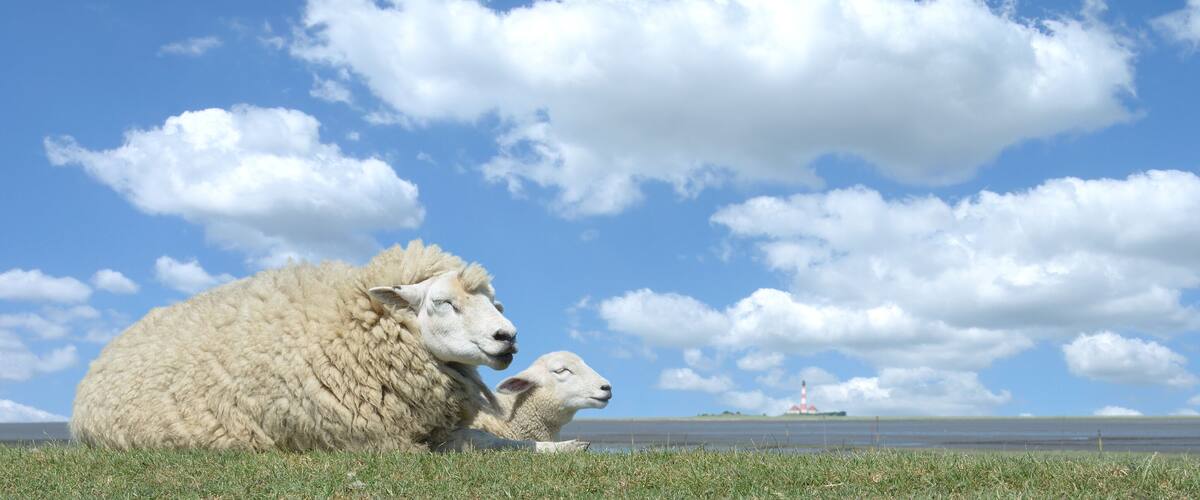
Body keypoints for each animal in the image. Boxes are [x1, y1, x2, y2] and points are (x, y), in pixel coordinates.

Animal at [71, 240, 585, 453]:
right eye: (443, 302)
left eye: (494, 303)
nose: (508, 337)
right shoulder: (380, 442)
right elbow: (485, 443)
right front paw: (562, 448)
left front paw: (564, 445)